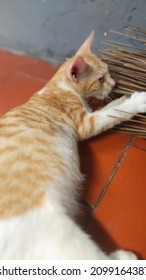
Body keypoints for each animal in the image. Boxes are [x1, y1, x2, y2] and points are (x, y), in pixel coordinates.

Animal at [0, 31, 146, 260]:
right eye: (101, 79)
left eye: (108, 73)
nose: (114, 83)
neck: (58, 84)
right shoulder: (86, 123)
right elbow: (112, 114)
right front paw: (138, 99)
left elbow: (113, 107)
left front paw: (123, 97)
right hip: (58, 230)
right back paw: (124, 257)